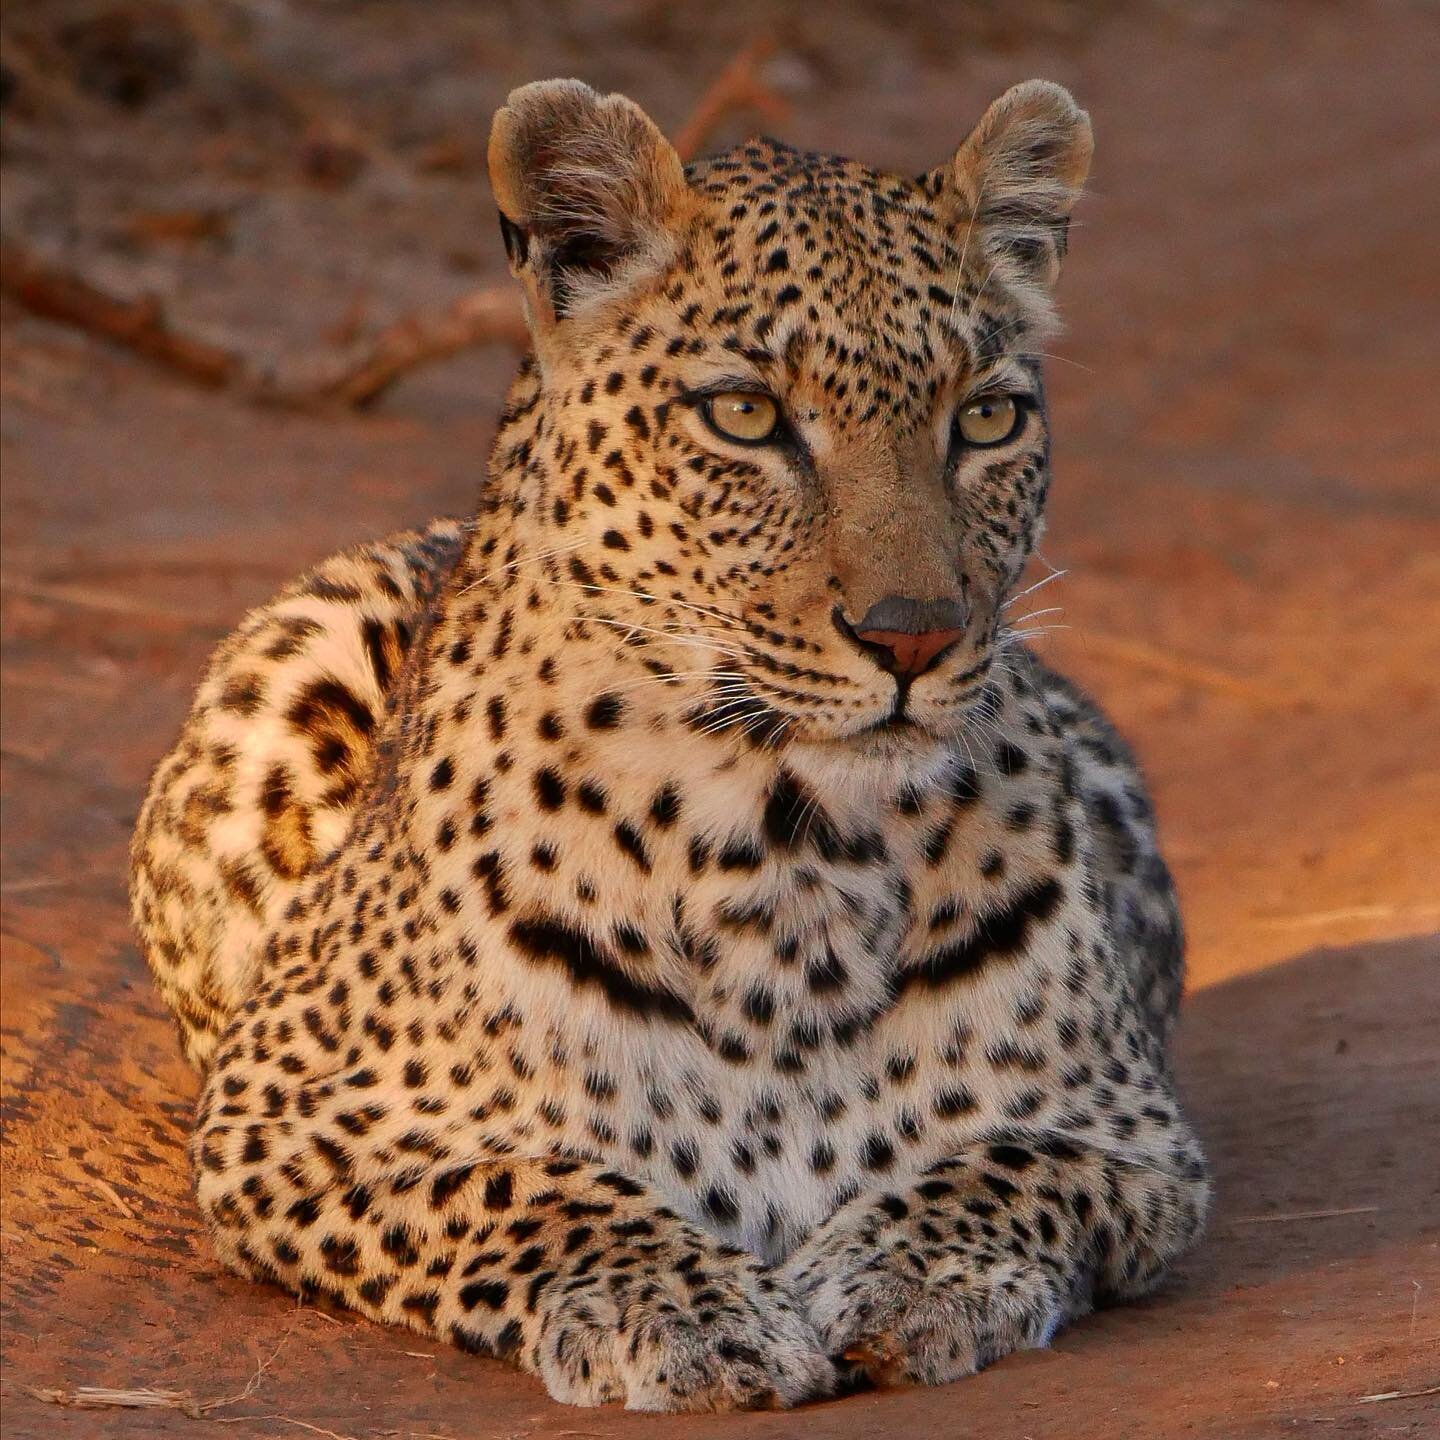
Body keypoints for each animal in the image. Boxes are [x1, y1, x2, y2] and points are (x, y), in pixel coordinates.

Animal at [135, 73, 1209, 1411]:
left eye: (986, 418)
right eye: (745, 416)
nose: (911, 635)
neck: (791, 849)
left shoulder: (1127, 1129)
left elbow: (995, 1173)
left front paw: (909, 1281)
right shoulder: (290, 1115)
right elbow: (534, 1188)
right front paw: (686, 1315)